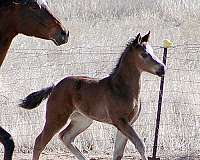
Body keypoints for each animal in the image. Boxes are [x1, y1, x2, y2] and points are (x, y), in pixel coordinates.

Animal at [19, 31, 166, 160]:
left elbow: (118, 153)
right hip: (56, 118)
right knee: (40, 141)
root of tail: (55, 86)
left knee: (65, 136)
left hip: (83, 120)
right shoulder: (120, 120)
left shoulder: (127, 122)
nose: (163, 68)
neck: (121, 88)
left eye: (153, 52)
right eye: (144, 54)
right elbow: (140, 144)